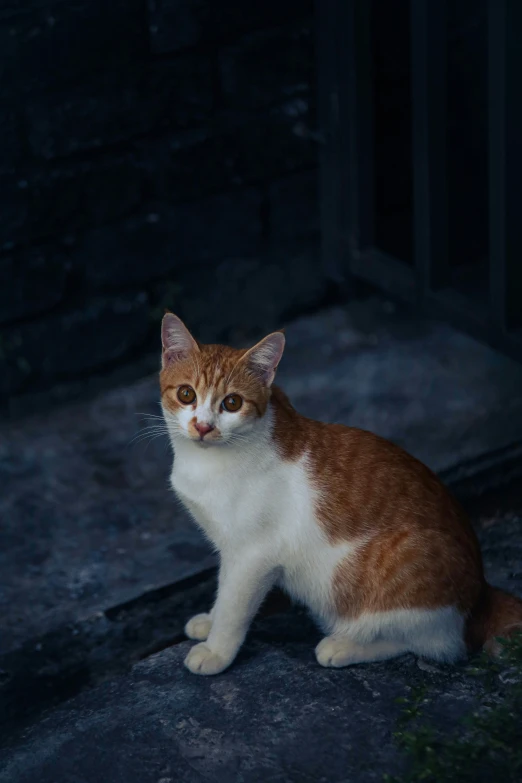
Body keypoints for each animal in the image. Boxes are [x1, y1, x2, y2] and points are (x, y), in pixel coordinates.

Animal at [158, 310, 520, 672]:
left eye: (232, 403)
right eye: (187, 394)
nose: (203, 426)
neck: (208, 462)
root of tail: (483, 593)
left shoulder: (253, 555)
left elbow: (234, 607)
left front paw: (216, 650)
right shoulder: (230, 548)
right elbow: (224, 589)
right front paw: (209, 620)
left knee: (427, 643)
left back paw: (344, 645)